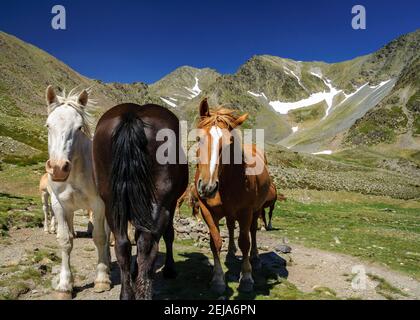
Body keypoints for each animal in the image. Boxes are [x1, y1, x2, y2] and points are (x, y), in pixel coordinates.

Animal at [45, 85, 110, 300]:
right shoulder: (59, 206)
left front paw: (101, 279)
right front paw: (65, 286)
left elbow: (99, 237)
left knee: (107, 234)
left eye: (79, 127)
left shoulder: (99, 205)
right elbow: (65, 242)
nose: (58, 168)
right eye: (48, 126)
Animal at [94, 103, 189, 300]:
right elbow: (169, 234)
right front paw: (169, 270)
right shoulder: (171, 203)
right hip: (158, 203)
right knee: (147, 243)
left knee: (122, 244)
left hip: (112, 204)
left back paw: (126, 293)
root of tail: (132, 115)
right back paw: (144, 291)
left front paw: (135, 271)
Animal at [194, 99, 270, 294]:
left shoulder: (245, 211)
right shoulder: (207, 211)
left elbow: (244, 242)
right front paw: (218, 280)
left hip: (256, 209)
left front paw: (247, 278)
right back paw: (229, 254)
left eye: (229, 143)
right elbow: (215, 242)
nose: (207, 187)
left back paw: (255, 258)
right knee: (229, 227)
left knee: (252, 232)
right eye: (198, 139)